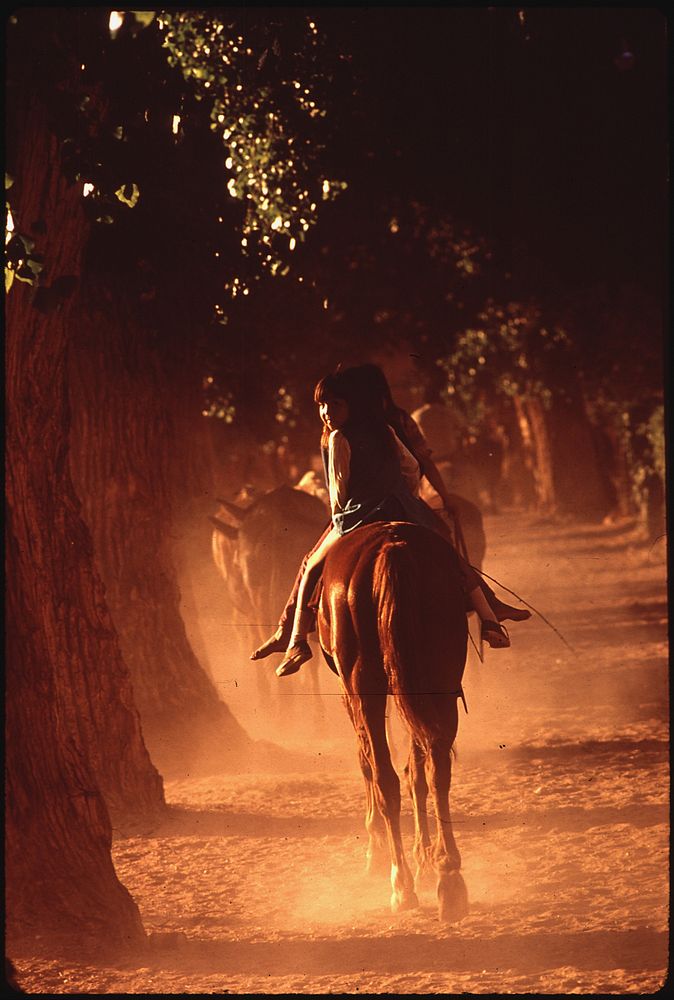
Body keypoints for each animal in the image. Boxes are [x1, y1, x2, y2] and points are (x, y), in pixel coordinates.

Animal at [316, 524, 468, 920]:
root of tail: (392, 545)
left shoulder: (349, 693)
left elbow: (367, 762)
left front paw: (379, 852)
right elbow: (416, 772)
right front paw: (426, 862)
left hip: (363, 683)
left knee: (386, 778)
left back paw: (401, 885)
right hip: (440, 675)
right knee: (435, 769)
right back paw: (449, 878)